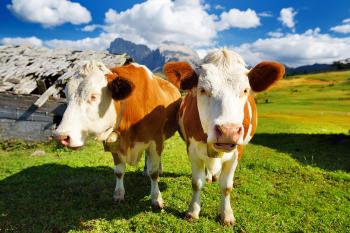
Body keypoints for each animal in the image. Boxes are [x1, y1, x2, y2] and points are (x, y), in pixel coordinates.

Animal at [55, 60, 182, 209]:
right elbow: (119, 171)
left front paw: (156, 198)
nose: (61, 137)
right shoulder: (114, 142)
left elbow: (154, 173)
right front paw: (119, 194)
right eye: (67, 98)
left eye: (93, 96)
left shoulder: (155, 140)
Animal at [164, 49, 284, 226]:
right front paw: (193, 211)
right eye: (202, 89)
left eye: (245, 90)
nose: (228, 131)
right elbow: (196, 183)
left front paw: (227, 215)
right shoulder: (192, 150)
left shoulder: (237, 152)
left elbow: (226, 186)